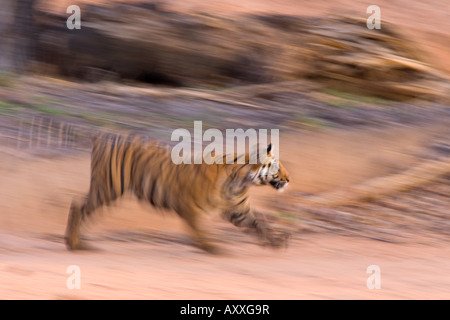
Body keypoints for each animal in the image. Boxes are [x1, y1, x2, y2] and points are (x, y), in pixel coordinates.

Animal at [65, 132, 292, 252]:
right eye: (277, 167)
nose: (289, 179)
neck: (242, 182)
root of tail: (102, 136)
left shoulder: (238, 211)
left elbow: (260, 224)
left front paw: (276, 241)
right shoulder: (189, 205)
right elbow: (199, 228)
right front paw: (209, 246)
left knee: (81, 208)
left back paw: (77, 241)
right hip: (109, 188)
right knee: (78, 206)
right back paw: (75, 244)